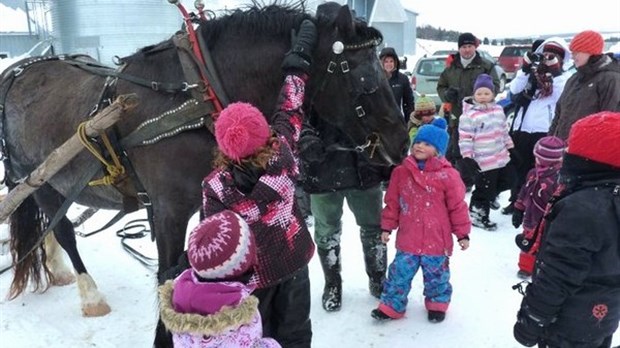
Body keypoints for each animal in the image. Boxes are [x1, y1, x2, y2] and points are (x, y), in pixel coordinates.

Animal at [0, 2, 406, 346]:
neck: (197, 92)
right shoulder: (169, 209)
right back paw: (89, 293)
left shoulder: (204, 201)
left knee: (52, 224)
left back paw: (58, 269)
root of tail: (18, 71)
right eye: (366, 79)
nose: (400, 142)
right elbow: (166, 274)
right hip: (32, 178)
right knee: (64, 230)